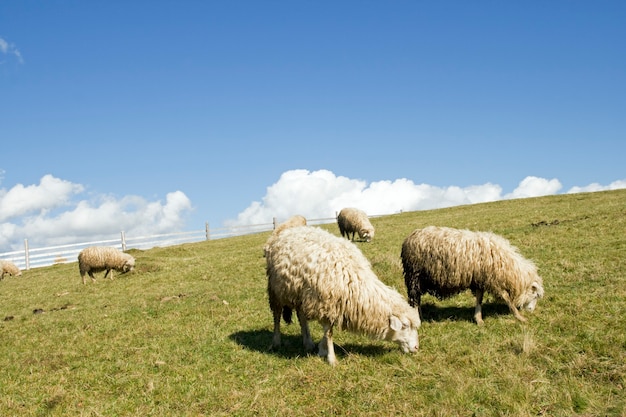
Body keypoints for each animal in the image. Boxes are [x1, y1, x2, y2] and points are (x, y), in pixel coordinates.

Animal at [264, 224, 420, 364]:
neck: (354, 281)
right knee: (277, 316)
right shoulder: (326, 304)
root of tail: (286, 231)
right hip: (275, 290)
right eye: (405, 326)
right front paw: (331, 358)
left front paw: (321, 349)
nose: (416, 348)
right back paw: (276, 341)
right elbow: (329, 333)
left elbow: (326, 332)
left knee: (302, 317)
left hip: (299, 293)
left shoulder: (330, 306)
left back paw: (307, 342)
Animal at [400, 224, 540, 324]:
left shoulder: (480, 279)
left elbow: (479, 299)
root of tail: (409, 237)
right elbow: (507, 299)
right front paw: (519, 317)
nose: (531, 311)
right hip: (414, 275)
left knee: (416, 299)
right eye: (536, 295)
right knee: (414, 299)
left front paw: (478, 319)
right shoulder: (493, 281)